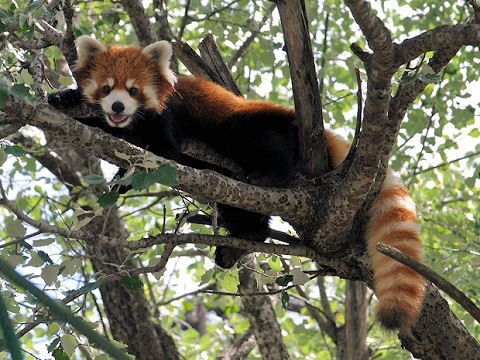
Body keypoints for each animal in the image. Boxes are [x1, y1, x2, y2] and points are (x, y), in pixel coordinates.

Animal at [47, 35, 424, 330]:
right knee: (245, 215)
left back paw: (266, 176)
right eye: (106, 88)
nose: (117, 106)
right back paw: (241, 239)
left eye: (134, 90)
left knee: (261, 145)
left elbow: (162, 152)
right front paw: (66, 98)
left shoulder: (169, 113)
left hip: (251, 126)